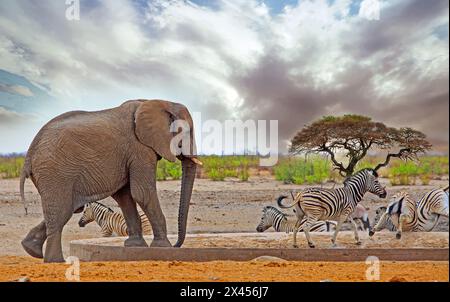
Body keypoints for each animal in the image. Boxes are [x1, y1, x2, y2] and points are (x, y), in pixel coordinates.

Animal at [19, 99, 201, 262]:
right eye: (188, 131)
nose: (178, 245)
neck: (160, 103)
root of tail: (29, 154)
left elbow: (125, 196)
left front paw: (135, 246)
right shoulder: (139, 148)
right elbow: (142, 193)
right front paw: (164, 247)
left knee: (67, 209)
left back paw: (31, 249)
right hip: (55, 172)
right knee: (62, 212)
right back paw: (55, 261)